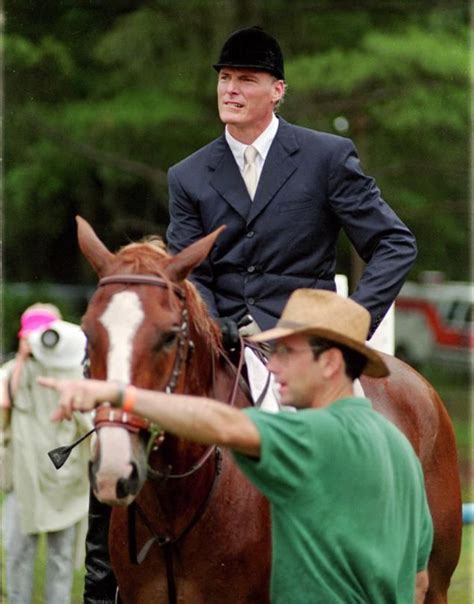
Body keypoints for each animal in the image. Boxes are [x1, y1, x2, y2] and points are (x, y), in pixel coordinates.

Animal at [78, 215, 462, 600]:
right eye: (88, 332)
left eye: (170, 336)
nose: (115, 466)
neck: (176, 505)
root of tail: (422, 386)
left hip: (432, 583)